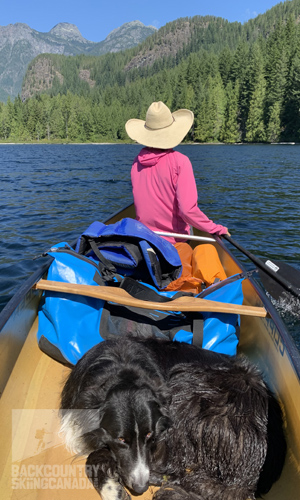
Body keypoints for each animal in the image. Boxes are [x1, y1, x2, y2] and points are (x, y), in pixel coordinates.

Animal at [59, 336, 286, 500]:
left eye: (149, 435)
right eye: (121, 439)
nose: (140, 488)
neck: (122, 366)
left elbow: (94, 457)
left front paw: (113, 489)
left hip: (189, 392)